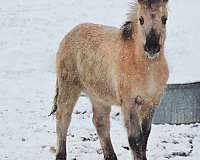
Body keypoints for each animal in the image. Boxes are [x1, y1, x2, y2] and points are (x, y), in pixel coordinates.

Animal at [51, 0, 169, 159]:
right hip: (68, 87)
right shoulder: (129, 103)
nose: (152, 47)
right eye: (141, 19)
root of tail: (69, 34)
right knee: (63, 119)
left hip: (99, 96)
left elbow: (145, 137)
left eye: (164, 19)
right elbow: (135, 139)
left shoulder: (151, 103)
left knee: (100, 123)